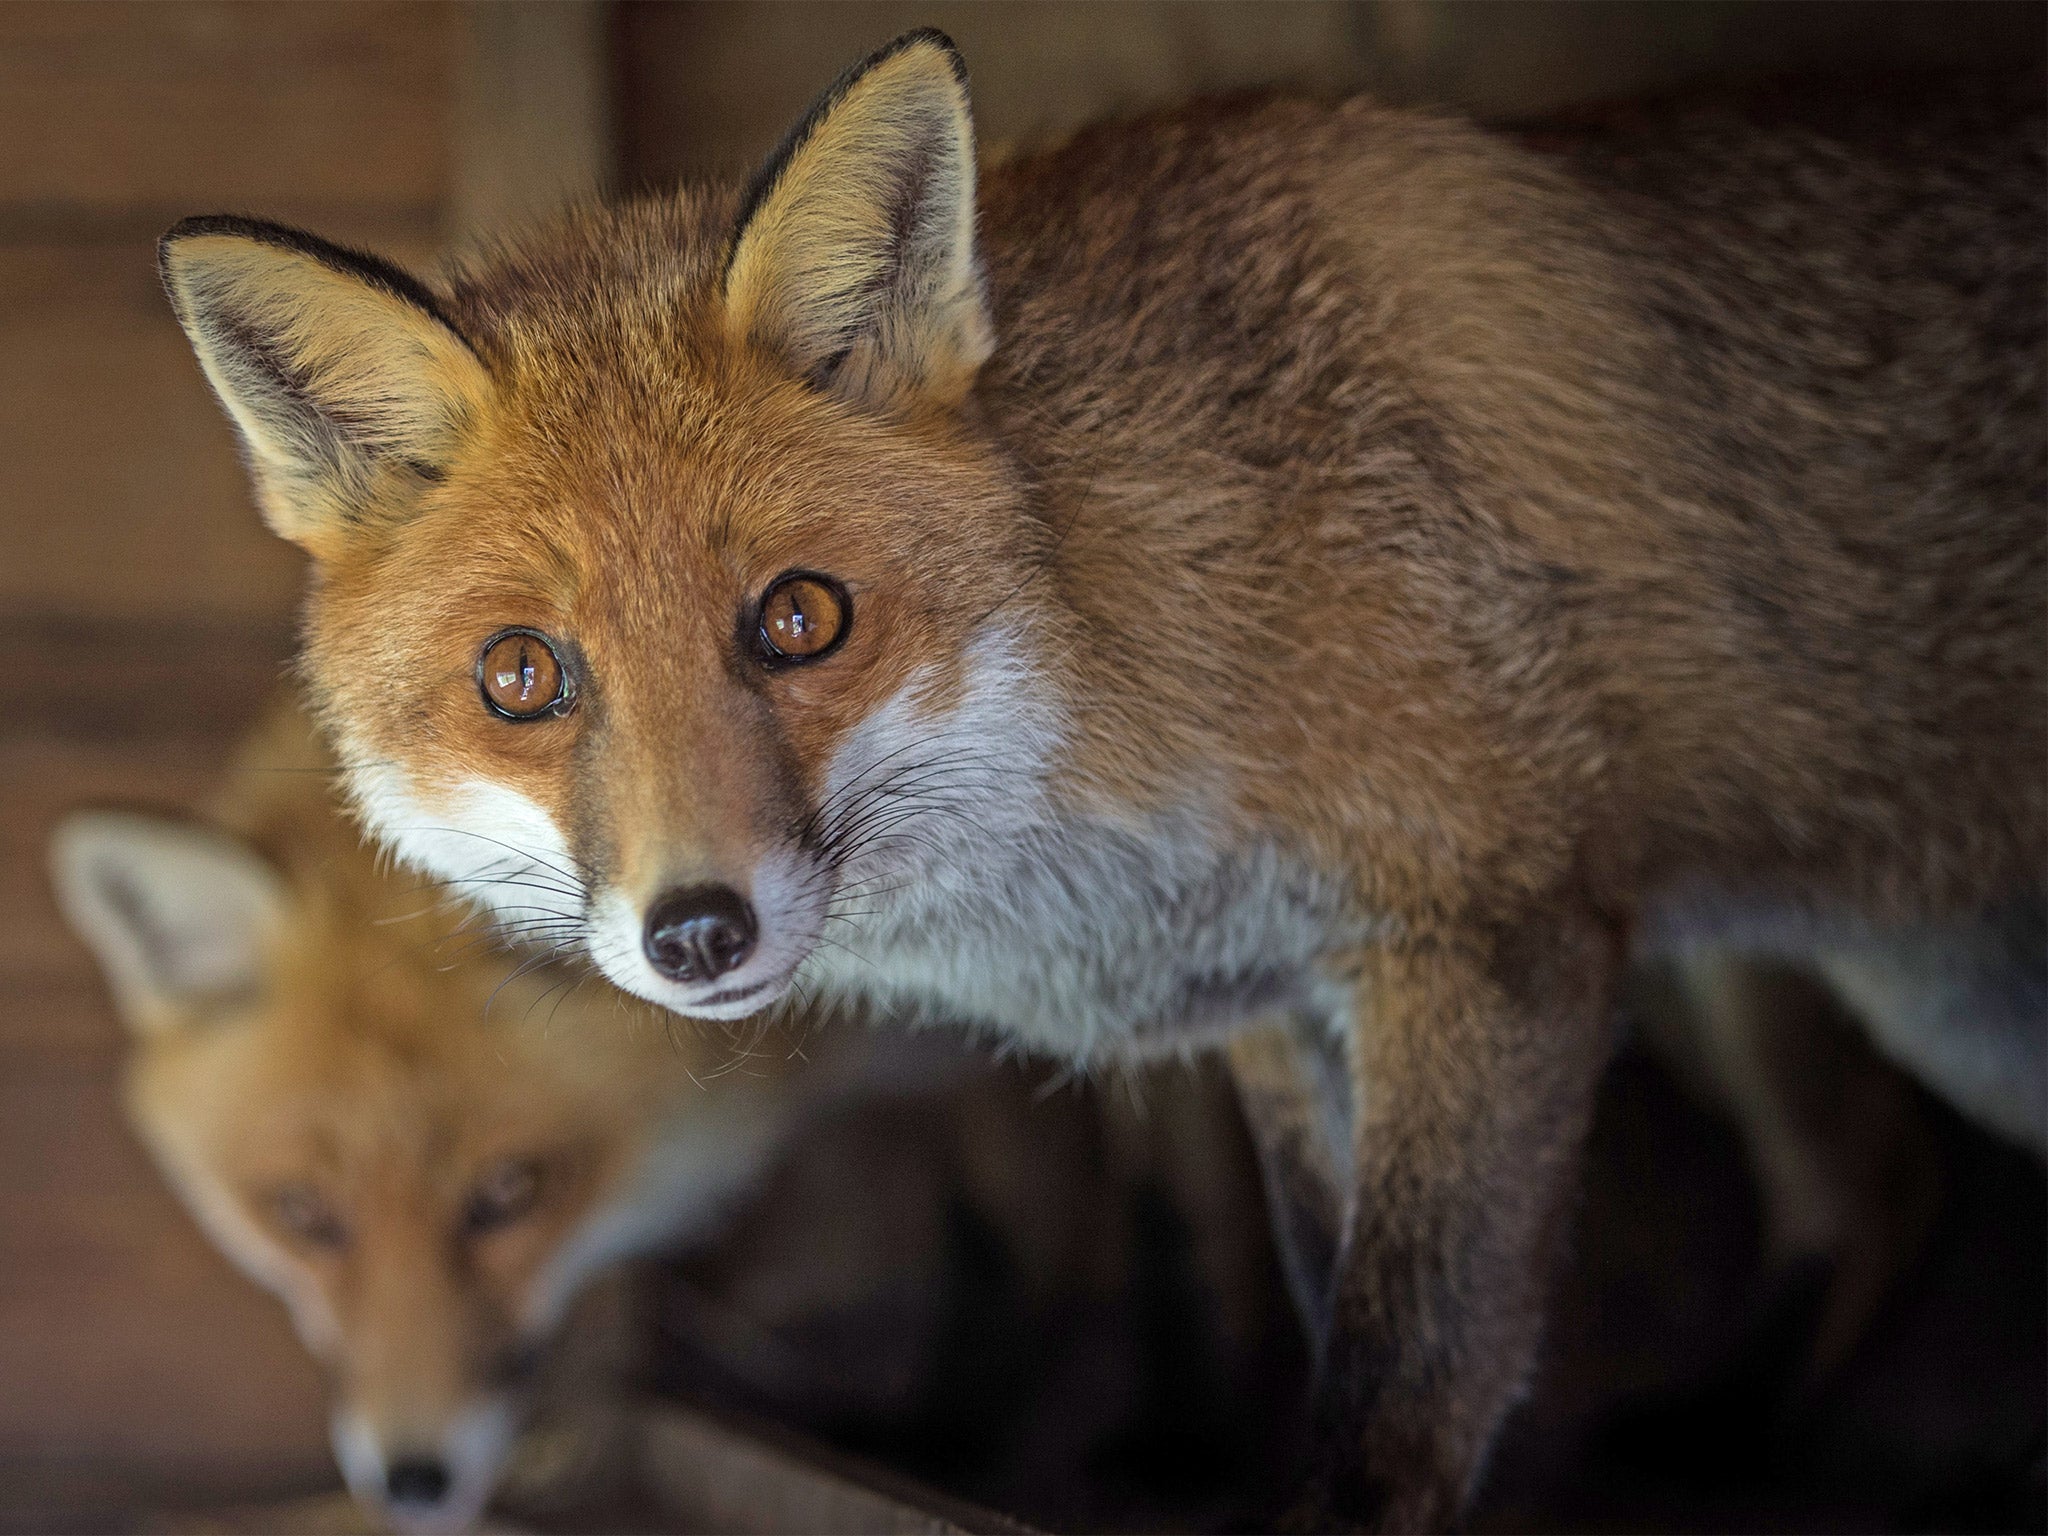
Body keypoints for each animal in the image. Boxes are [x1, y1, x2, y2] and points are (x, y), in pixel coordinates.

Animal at [151, 30, 2039, 1531]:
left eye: (800, 618)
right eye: (522, 680)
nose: (695, 931)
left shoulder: (1491, 942)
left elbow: (1390, 1396)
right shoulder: (1282, 1006)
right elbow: (1324, 1311)